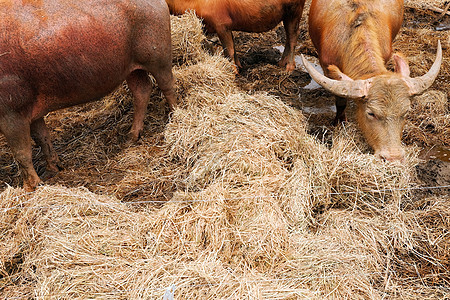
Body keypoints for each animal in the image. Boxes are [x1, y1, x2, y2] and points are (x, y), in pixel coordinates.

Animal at [0, 0, 177, 191]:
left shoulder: (12, 112)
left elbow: (22, 153)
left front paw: (29, 188)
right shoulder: (30, 110)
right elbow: (42, 137)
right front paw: (52, 170)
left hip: (158, 55)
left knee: (168, 86)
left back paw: (176, 116)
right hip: (132, 69)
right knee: (142, 90)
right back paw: (131, 137)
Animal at [167, 0, 308, 72]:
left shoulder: (221, 25)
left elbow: (228, 51)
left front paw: (233, 72)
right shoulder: (227, 28)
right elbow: (233, 48)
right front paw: (239, 66)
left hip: (294, 11)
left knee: (293, 37)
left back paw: (289, 68)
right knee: (288, 38)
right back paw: (280, 63)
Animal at [302, 0, 442, 162]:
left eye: (406, 113)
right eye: (371, 113)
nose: (393, 158)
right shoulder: (326, 68)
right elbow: (340, 101)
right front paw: (339, 123)